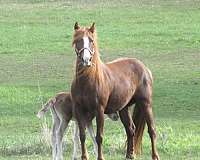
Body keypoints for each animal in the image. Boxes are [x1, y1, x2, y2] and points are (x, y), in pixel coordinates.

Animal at [70, 22, 159, 160]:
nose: (86, 60)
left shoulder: (99, 110)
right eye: (78, 40)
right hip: (123, 108)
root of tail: (144, 68)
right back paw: (129, 155)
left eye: (91, 41)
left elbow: (99, 137)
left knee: (152, 130)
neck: (87, 81)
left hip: (146, 104)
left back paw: (154, 156)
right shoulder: (79, 110)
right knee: (130, 129)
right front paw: (84, 157)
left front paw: (100, 157)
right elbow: (82, 136)